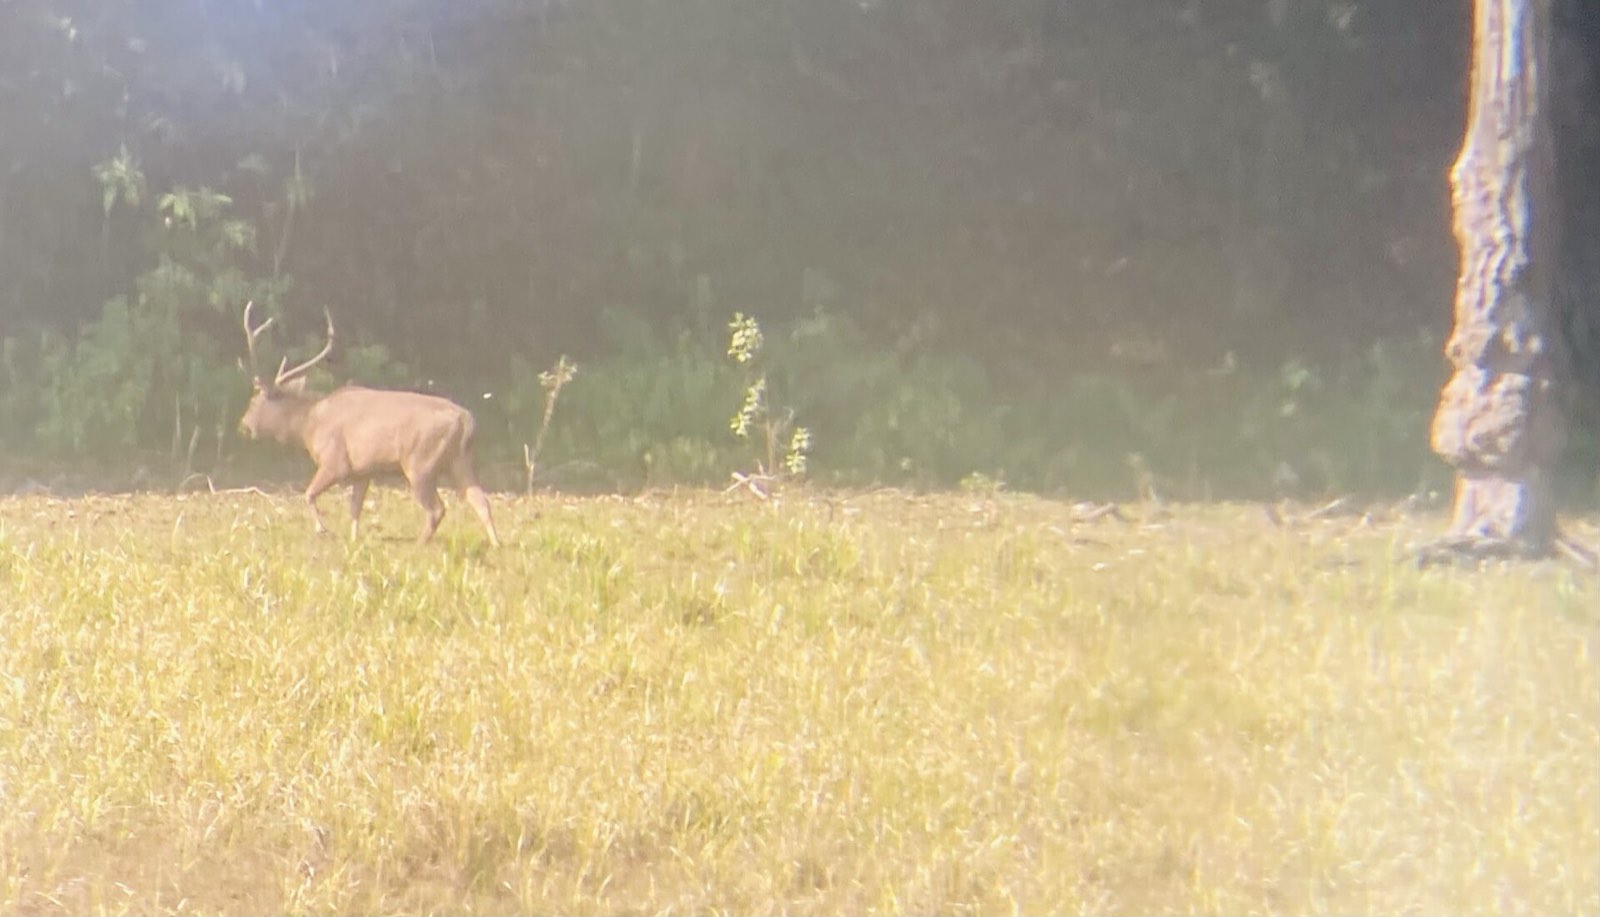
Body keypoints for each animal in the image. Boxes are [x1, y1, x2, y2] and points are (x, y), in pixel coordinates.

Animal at [237, 301, 501, 547]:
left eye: (254, 400)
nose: (243, 425)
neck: (308, 424)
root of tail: (467, 421)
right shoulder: (363, 471)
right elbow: (354, 510)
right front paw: (353, 540)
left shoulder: (335, 461)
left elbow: (309, 494)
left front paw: (323, 529)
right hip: (460, 461)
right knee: (481, 501)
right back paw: (496, 543)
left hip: (420, 463)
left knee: (437, 509)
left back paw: (419, 543)